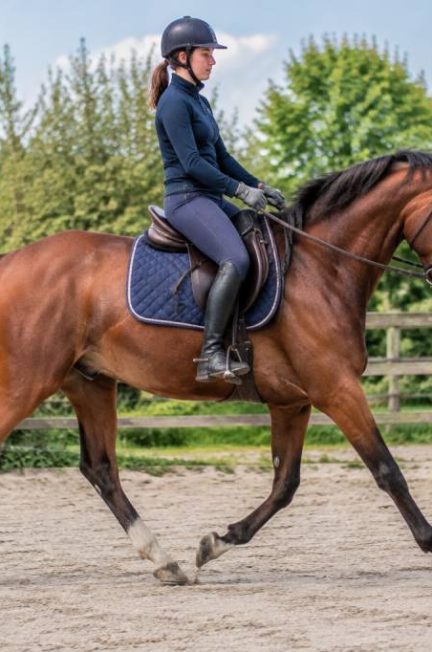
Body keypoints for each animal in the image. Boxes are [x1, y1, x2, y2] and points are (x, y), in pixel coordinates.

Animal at [1, 149, 432, 585]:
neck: (321, 268)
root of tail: (11, 262)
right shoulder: (337, 389)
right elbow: (386, 469)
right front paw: (429, 540)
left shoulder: (292, 402)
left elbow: (285, 484)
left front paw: (216, 542)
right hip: (26, 382)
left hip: (90, 383)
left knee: (101, 469)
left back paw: (165, 562)